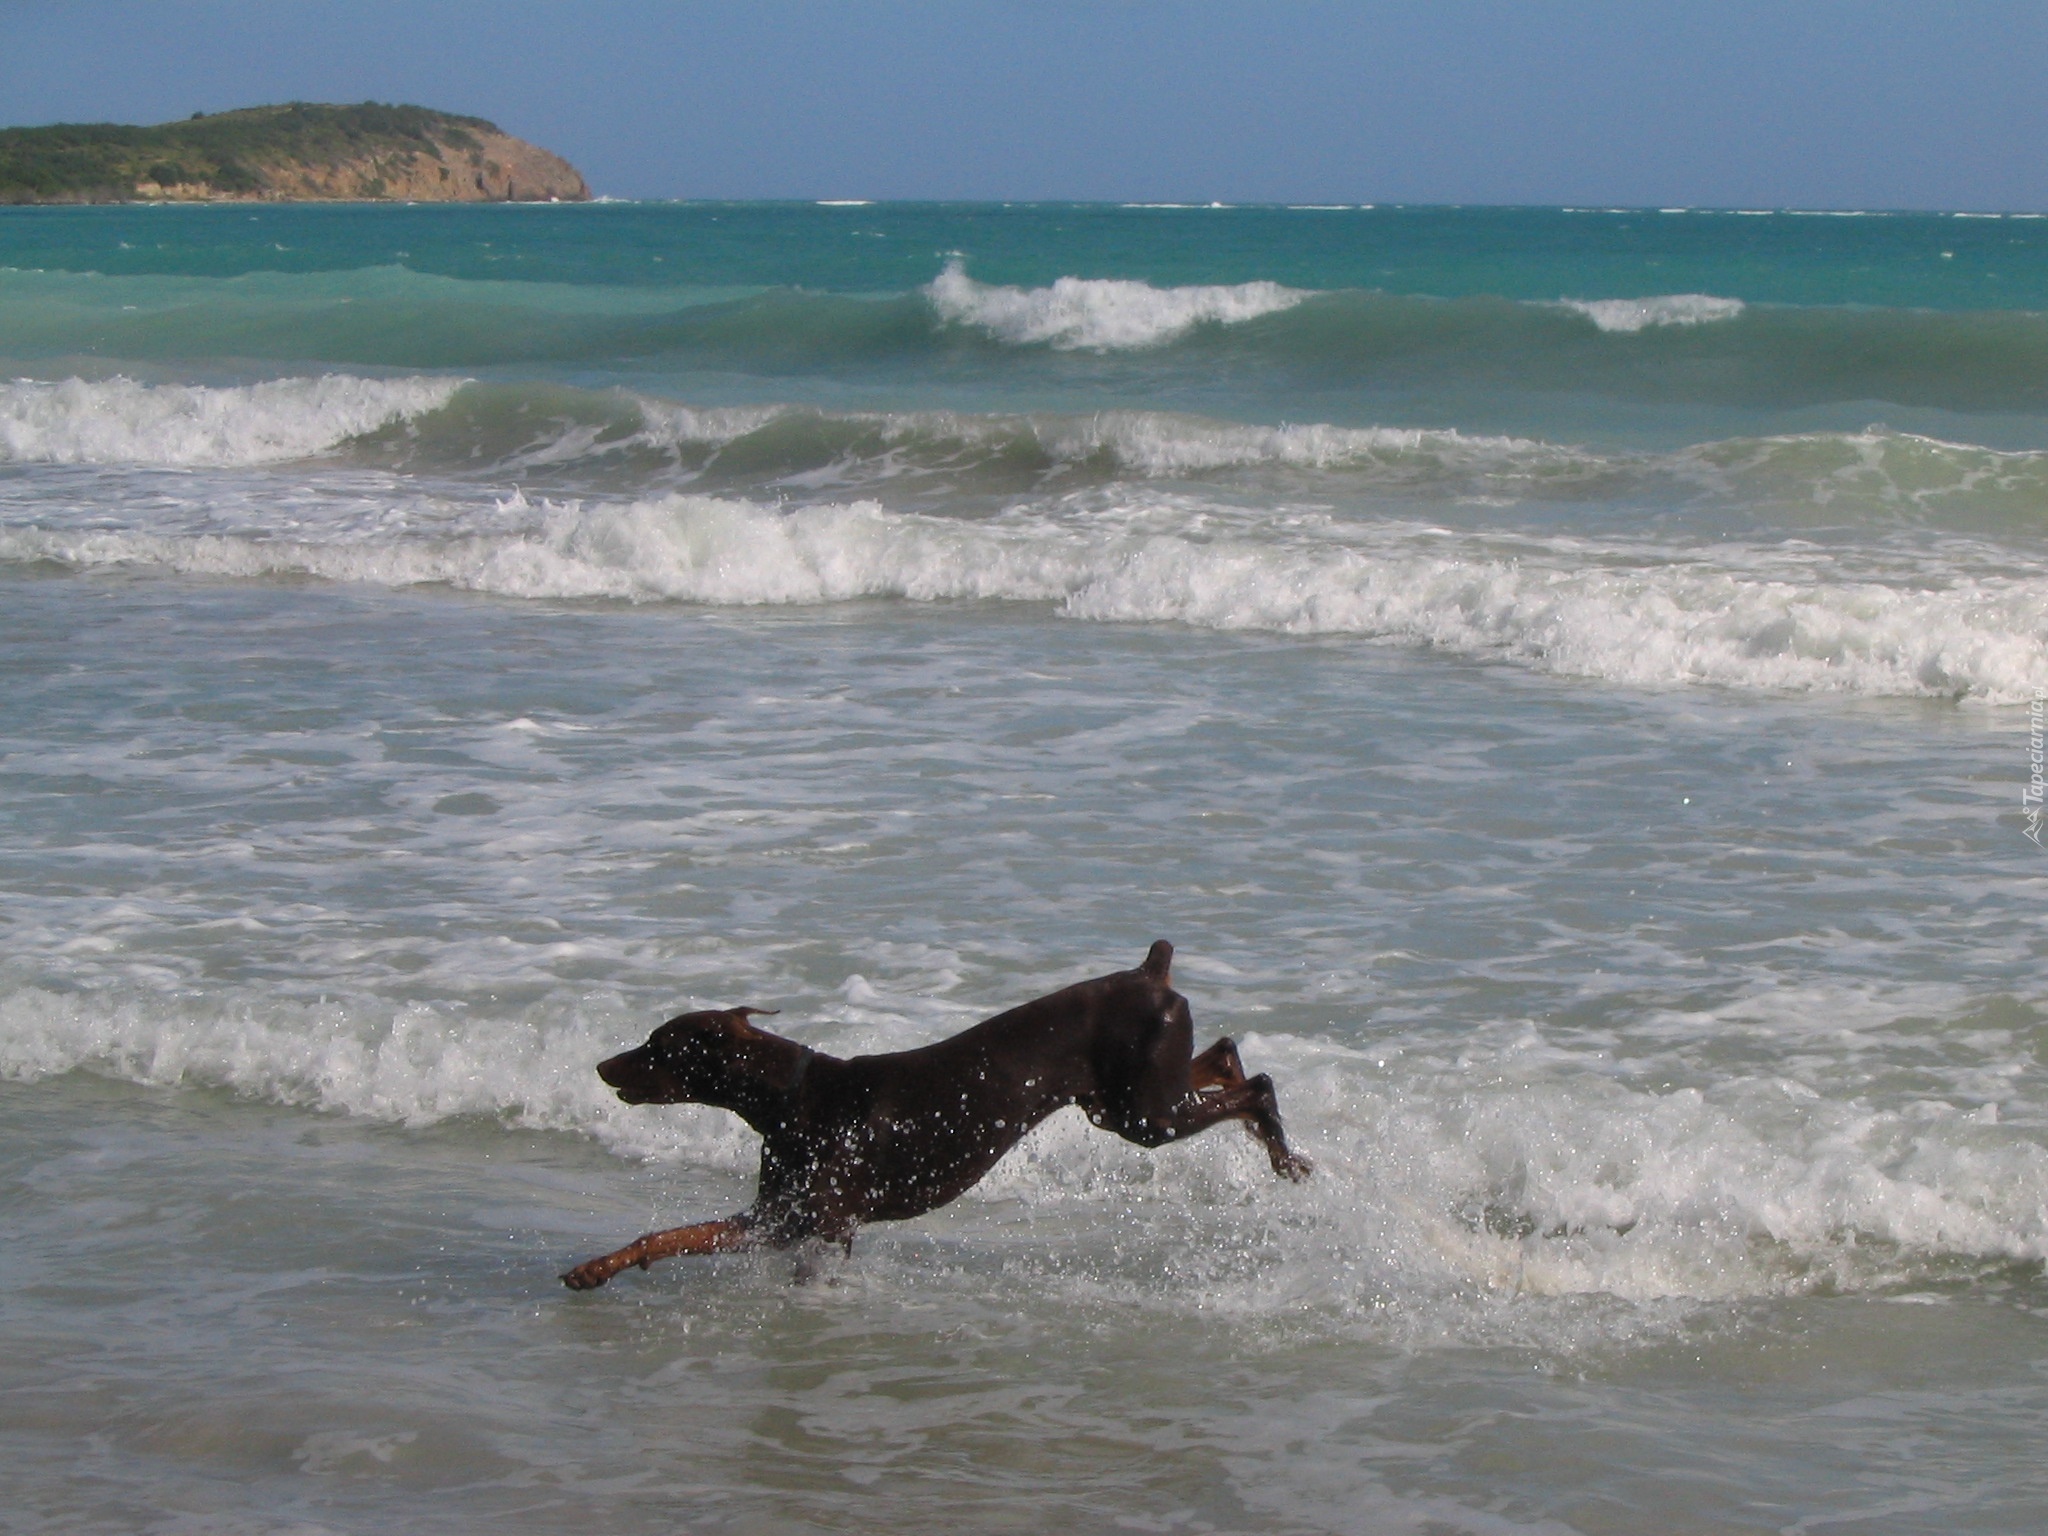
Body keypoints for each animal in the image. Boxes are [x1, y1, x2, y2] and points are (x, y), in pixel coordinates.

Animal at [561, 946, 1310, 1294]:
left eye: (658, 1046)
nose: (600, 1065)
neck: (791, 1100)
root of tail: (1152, 972)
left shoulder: (808, 1223)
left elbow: (687, 1239)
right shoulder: (783, 1218)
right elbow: (672, 1235)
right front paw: (595, 1269)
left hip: (1143, 1113)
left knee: (1258, 1086)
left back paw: (1281, 1151)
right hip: (1128, 1096)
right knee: (1223, 1054)